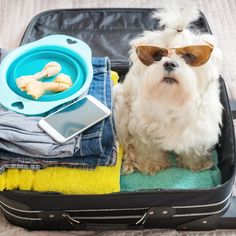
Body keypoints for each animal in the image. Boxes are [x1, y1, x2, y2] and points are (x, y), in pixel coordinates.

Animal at [113, 6, 222, 175]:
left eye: (189, 56)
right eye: (157, 55)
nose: (170, 63)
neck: (172, 99)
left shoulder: (200, 130)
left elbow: (194, 149)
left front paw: (195, 164)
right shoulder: (142, 129)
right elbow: (148, 148)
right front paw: (152, 164)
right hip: (120, 105)